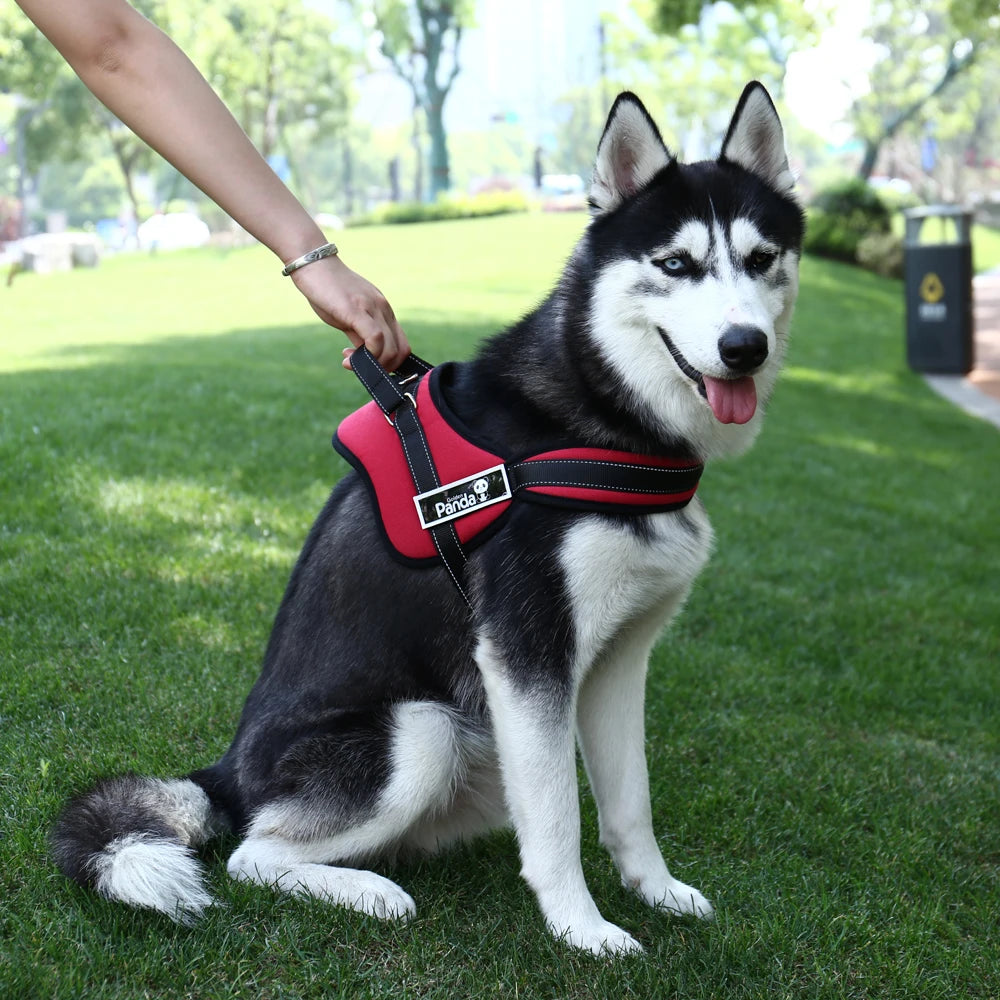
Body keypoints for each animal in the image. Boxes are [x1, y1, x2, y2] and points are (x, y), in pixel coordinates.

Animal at [52, 82, 804, 956]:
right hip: (423, 729)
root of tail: (228, 772)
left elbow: (629, 801)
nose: (744, 345)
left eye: (762, 259)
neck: (600, 417)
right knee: (252, 856)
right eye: (677, 264)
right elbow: (557, 817)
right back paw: (371, 893)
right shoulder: (525, 654)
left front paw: (656, 891)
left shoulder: (619, 659)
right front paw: (581, 930)